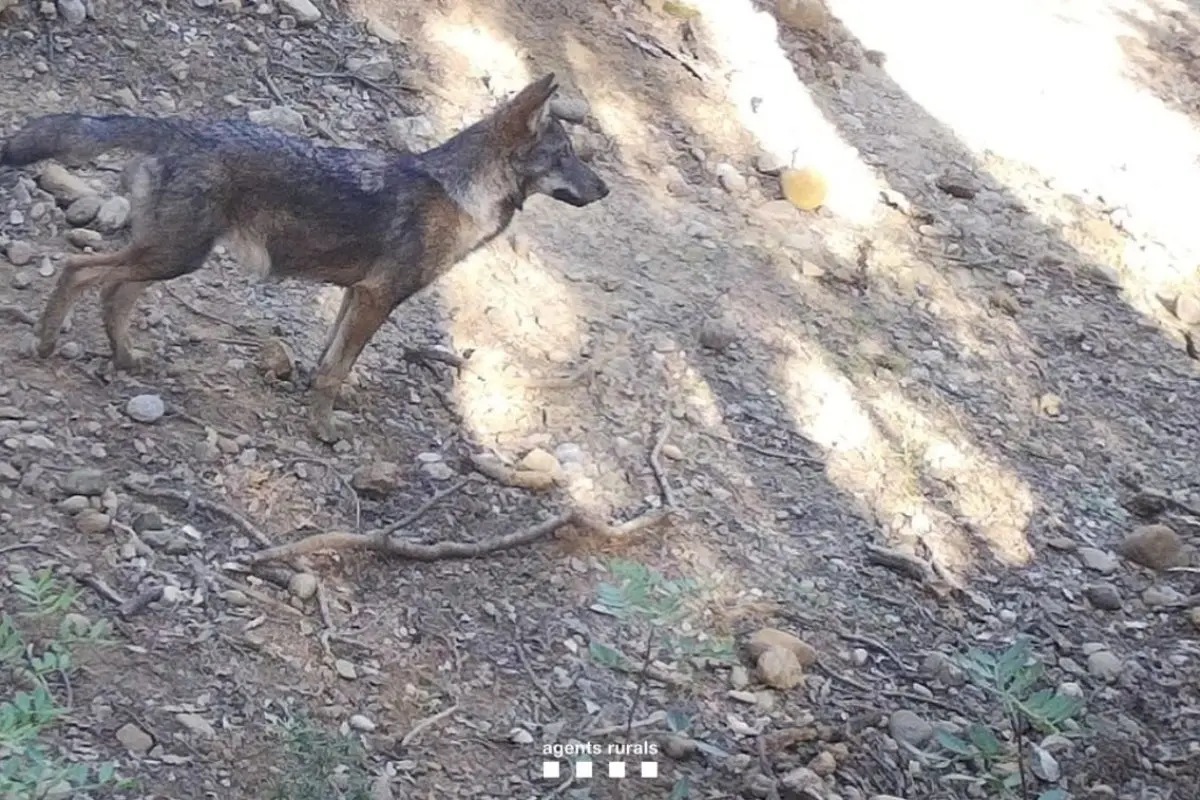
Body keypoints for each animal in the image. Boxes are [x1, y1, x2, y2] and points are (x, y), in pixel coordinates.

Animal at [0, 73, 608, 442]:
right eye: (565, 157)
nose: (604, 190)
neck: (461, 195)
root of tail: (180, 127)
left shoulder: (354, 295)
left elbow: (328, 361)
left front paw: (315, 405)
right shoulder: (376, 298)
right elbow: (336, 372)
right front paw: (323, 430)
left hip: (169, 257)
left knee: (112, 292)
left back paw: (126, 359)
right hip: (173, 257)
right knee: (80, 270)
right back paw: (48, 343)